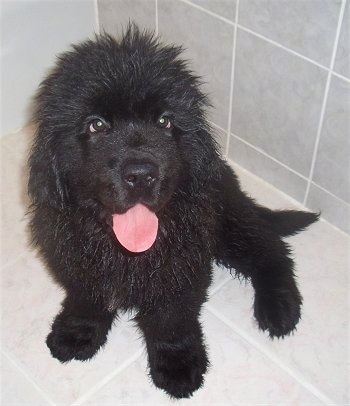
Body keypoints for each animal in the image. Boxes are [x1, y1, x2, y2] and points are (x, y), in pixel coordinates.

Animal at [28, 27, 318, 398]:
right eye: (96, 125)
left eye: (165, 121)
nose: (141, 174)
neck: (127, 252)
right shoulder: (77, 258)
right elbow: (85, 299)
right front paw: (76, 333)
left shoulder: (182, 267)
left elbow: (171, 320)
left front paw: (178, 365)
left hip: (227, 222)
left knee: (271, 249)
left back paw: (279, 309)